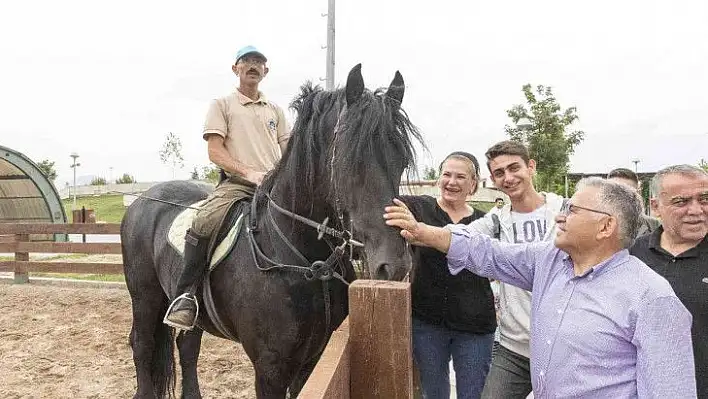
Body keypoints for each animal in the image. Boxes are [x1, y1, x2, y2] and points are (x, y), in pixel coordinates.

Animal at [119, 64, 424, 398]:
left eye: (401, 160)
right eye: (349, 160)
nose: (394, 265)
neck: (305, 259)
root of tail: (144, 199)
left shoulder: (313, 359)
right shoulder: (271, 368)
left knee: (187, 347)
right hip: (145, 296)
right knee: (142, 344)